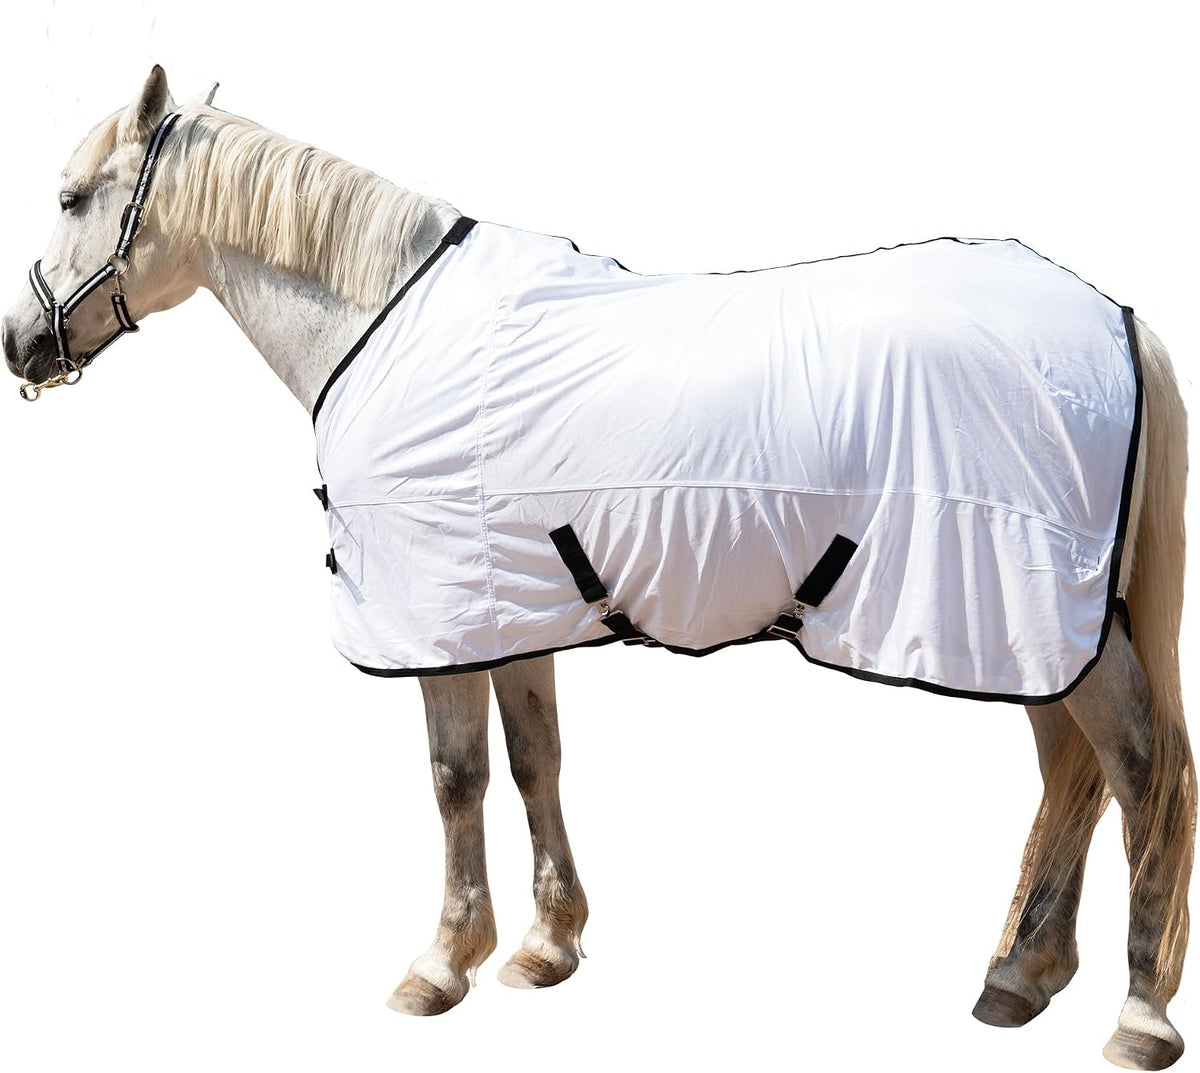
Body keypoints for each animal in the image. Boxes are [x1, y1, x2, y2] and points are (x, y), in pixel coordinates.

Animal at [2, 66, 1193, 1071]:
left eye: (70, 196)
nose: (20, 343)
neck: (381, 324)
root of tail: (1117, 319)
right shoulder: (507, 609)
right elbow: (536, 761)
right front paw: (545, 944)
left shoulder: (435, 616)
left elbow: (456, 776)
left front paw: (440, 963)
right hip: (1038, 631)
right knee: (1073, 775)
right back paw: (1019, 976)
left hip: (1050, 621)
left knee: (1143, 770)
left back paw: (1136, 1016)